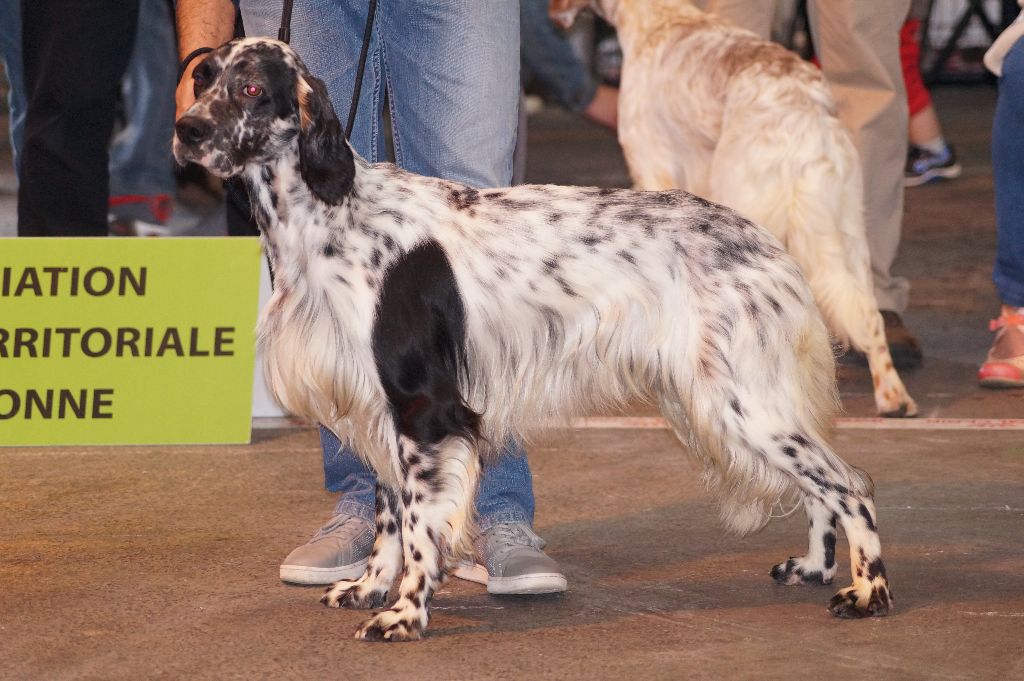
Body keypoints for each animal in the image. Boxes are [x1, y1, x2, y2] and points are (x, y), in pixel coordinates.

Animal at [172, 39, 892, 639]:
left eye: (251, 88)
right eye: (202, 79)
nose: (187, 130)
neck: (332, 213)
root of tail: (763, 240)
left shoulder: (424, 408)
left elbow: (419, 530)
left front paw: (405, 611)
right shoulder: (376, 405)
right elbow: (388, 517)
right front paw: (371, 586)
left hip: (746, 402)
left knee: (850, 483)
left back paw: (867, 592)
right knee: (824, 485)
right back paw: (814, 566)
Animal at [552, 0, 921, 419]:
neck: (658, 17)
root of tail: (804, 113)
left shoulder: (651, 164)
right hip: (848, 227)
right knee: (869, 314)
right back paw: (893, 396)